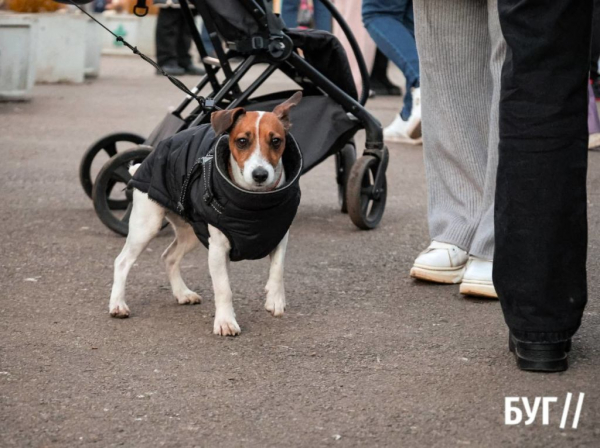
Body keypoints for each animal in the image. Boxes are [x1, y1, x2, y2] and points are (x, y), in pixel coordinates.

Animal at [108, 92, 302, 336]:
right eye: (242, 141)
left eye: (276, 141)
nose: (260, 174)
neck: (254, 205)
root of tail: (144, 163)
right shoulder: (218, 249)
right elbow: (224, 289)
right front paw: (226, 321)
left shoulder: (279, 235)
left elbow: (278, 269)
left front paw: (275, 300)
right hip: (146, 227)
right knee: (122, 262)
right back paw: (117, 304)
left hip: (190, 234)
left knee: (169, 257)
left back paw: (182, 293)